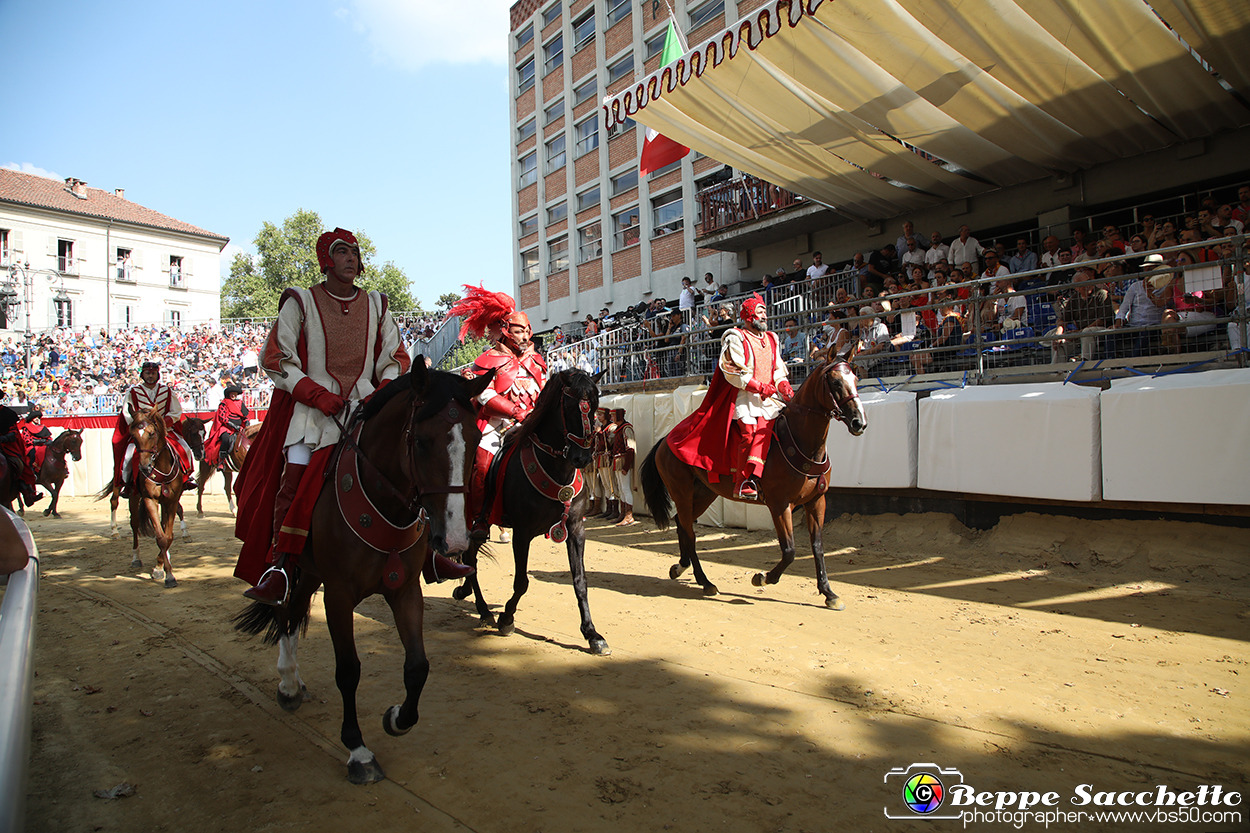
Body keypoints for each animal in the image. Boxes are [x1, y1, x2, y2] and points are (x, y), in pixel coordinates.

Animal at [235, 360, 492, 780]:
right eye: (422, 441)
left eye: (477, 437)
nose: (454, 539)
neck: (385, 502)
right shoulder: (339, 596)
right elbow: (348, 670)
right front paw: (357, 750)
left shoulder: (405, 591)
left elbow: (418, 666)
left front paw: (397, 718)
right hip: (298, 564)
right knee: (283, 606)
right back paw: (287, 681)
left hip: (311, 573)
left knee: (293, 612)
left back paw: (292, 681)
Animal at [450, 367, 610, 650]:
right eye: (568, 406)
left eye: (594, 406)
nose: (581, 457)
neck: (556, 468)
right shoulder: (522, 533)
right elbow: (522, 582)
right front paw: (506, 618)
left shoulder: (575, 529)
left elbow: (580, 580)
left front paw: (592, 633)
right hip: (472, 519)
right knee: (469, 556)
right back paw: (483, 609)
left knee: (470, 556)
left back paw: (471, 597)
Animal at [640, 347, 865, 607]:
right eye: (836, 382)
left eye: (855, 379)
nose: (859, 422)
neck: (800, 441)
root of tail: (665, 441)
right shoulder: (780, 505)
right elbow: (789, 551)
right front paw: (763, 578)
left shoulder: (816, 501)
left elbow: (817, 546)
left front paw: (828, 592)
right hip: (681, 491)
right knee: (690, 532)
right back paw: (704, 581)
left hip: (705, 493)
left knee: (682, 525)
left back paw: (681, 567)